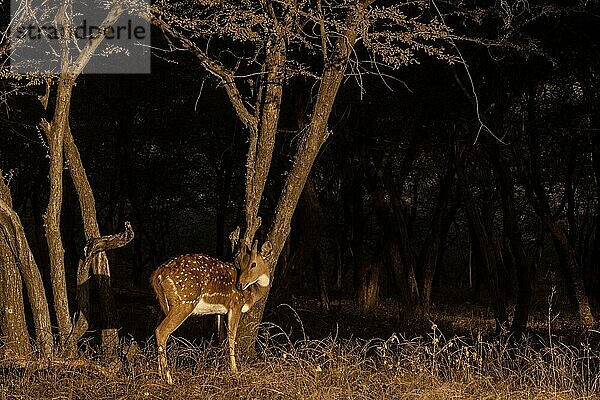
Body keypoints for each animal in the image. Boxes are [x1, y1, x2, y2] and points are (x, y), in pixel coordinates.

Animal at [150, 239, 272, 382]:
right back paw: (169, 378)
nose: (240, 284)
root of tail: (158, 274)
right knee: (162, 331)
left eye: (253, 264)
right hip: (185, 302)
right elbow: (232, 337)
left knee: (156, 329)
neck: (251, 294)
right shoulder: (236, 304)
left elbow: (221, 337)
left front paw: (219, 366)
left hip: (164, 305)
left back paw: (159, 374)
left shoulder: (221, 311)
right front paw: (235, 370)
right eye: (241, 264)